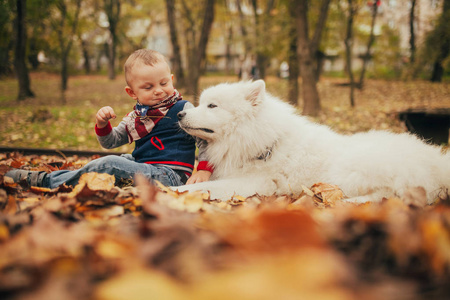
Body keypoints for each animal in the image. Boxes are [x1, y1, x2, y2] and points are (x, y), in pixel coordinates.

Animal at [177, 79, 450, 203]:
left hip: (349, 170)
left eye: (212, 106)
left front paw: (175, 191)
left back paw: (350, 202)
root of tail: (437, 164)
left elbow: (200, 188)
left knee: (392, 195)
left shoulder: (254, 183)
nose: (179, 115)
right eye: (202, 103)